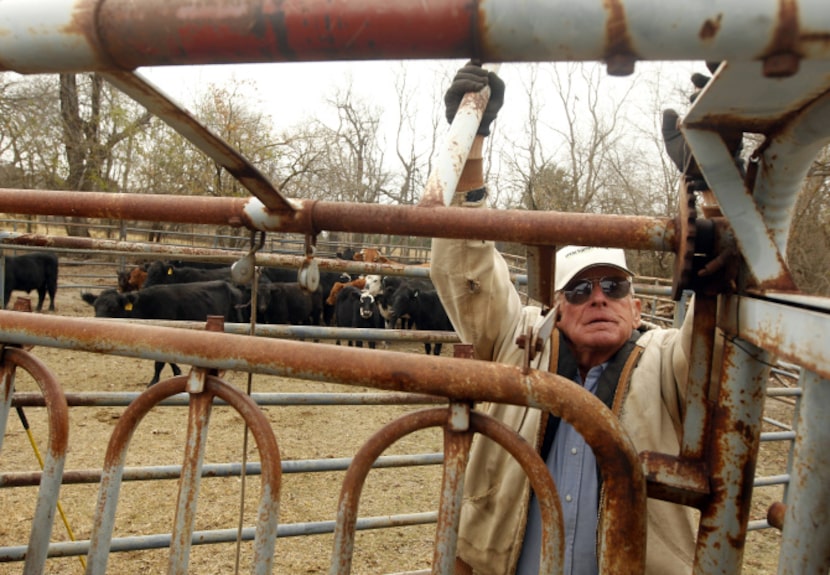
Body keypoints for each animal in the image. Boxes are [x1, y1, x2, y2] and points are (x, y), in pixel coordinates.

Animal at [81, 280, 247, 388]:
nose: (96, 324)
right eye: (95, 306)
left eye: (113, 308)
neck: (146, 305)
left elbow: (159, 362)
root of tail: (231, 286)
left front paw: (153, 382)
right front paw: (177, 372)